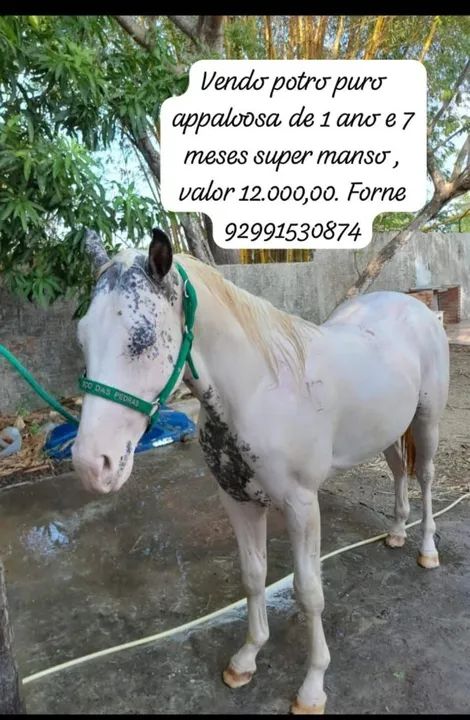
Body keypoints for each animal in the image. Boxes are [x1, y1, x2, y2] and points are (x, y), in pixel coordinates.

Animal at [72, 228, 450, 714]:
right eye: (83, 335)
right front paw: (247, 658)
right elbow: (253, 578)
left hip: (427, 422)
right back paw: (398, 532)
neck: (259, 389)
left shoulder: (302, 506)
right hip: (388, 429)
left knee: (424, 478)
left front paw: (312, 686)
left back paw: (427, 550)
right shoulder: (237, 501)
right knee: (400, 472)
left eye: (143, 337)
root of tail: (415, 308)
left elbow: (309, 592)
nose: (90, 464)